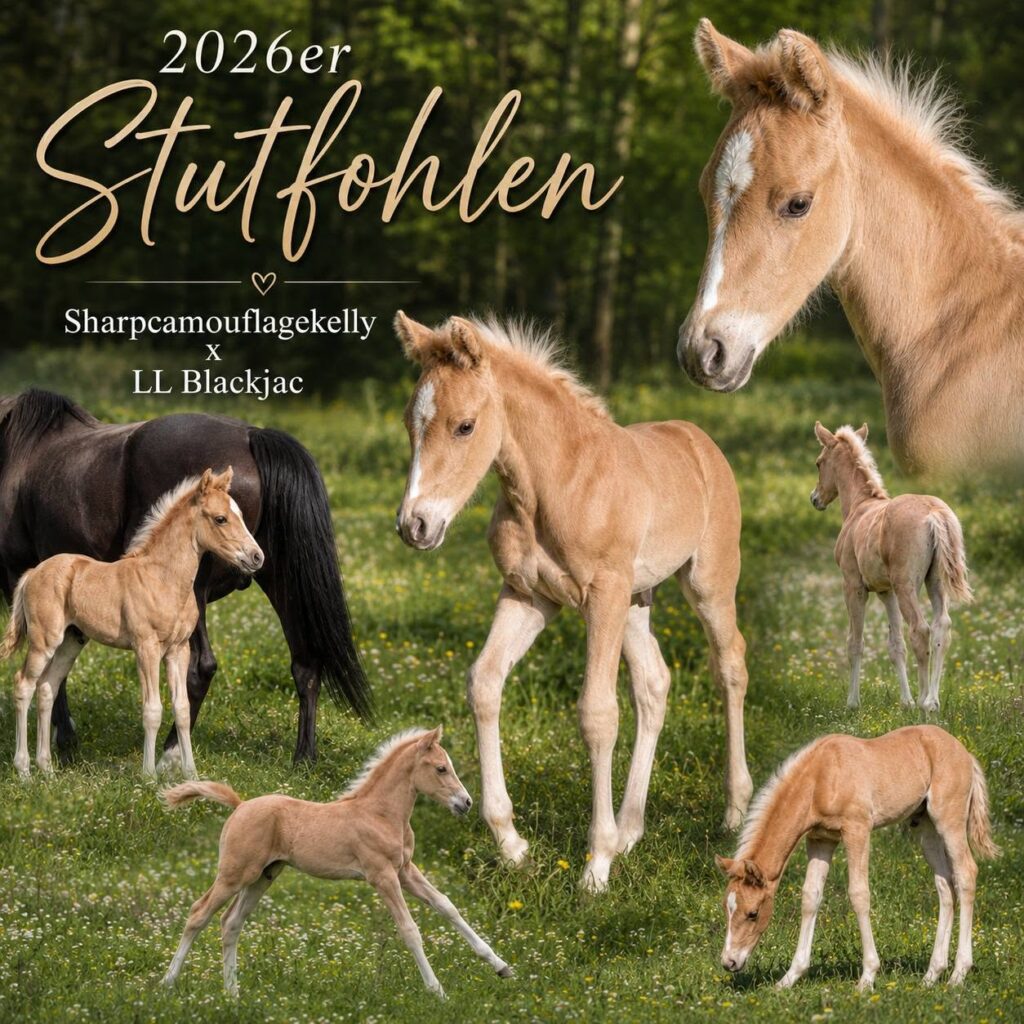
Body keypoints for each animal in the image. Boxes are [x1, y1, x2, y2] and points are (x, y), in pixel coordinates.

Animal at [2, 469, 262, 779]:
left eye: (241, 515)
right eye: (220, 518)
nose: (257, 557)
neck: (163, 579)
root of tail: (33, 572)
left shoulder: (178, 650)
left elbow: (182, 709)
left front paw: (191, 774)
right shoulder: (146, 647)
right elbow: (152, 710)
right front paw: (148, 775)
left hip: (70, 642)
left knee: (46, 689)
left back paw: (48, 770)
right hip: (44, 640)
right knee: (23, 685)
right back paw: (24, 771)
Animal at [160, 726, 511, 999]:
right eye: (440, 768)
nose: (466, 803)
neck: (381, 814)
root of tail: (240, 805)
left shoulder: (405, 871)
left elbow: (447, 906)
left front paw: (502, 966)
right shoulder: (382, 875)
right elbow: (409, 929)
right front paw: (437, 991)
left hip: (264, 876)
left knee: (231, 923)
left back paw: (232, 994)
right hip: (236, 874)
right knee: (198, 914)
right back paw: (168, 983)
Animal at [393, 312, 752, 892]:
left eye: (465, 426)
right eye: (411, 422)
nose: (415, 526)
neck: (554, 485)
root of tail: (700, 440)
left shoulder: (602, 596)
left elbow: (597, 713)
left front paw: (595, 867)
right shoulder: (528, 595)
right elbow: (484, 682)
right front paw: (512, 844)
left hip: (707, 584)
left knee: (730, 667)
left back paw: (733, 811)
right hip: (636, 602)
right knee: (654, 684)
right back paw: (631, 830)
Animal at [716, 725, 999, 990]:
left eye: (752, 913)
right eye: (726, 909)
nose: (729, 962)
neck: (821, 777)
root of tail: (964, 753)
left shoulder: (857, 829)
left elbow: (859, 894)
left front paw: (867, 977)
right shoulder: (821, 839)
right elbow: (810, 897)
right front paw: (788, 979)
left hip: (948, 819)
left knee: (965, 874)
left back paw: (958, 974)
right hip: (925, 826)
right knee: (944, 884)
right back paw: (932, 975)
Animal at [812, 423, 972, 711]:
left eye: (819, 463)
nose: (815, 499)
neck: (859, 506)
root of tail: (934, 513)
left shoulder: (853, 586)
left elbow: (855, 642)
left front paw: (853, 703)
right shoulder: (886, 592)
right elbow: (896, 645)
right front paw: (904, 701)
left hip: (906, 585)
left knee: (920, 630)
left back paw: (924, 702)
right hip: (934, 581)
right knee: (941, 626)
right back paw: (933, 700)